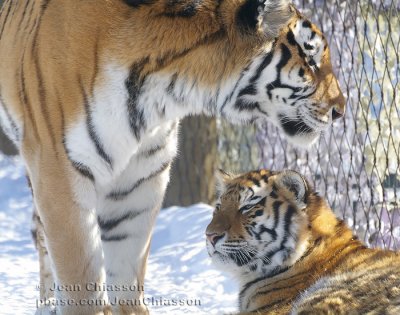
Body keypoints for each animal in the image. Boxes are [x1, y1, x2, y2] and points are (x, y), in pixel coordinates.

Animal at [0, 0, 344, 315]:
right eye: (311, 60)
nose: (340, 109)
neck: (162, 91)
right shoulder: (59, 170)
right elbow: (80, 281)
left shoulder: (140, 181)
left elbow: (126, 277)